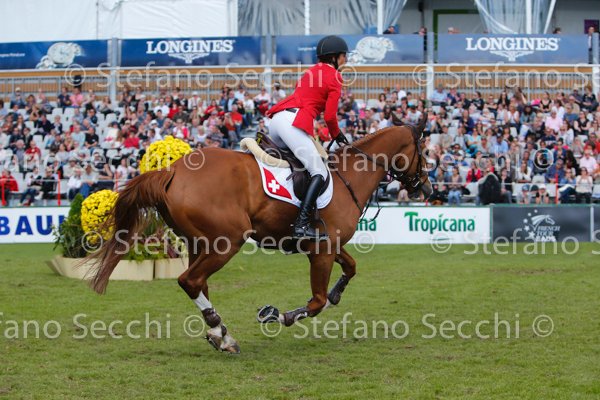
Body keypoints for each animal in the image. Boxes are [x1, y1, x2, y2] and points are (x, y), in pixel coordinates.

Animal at [89, 113, 432, 353]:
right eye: (424, 151)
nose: (427, 188)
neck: (350, 175)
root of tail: (171, 171)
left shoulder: (327, 244)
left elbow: (350, 268)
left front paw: (336, 293)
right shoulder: (321, 251)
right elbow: (317, 302)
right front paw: (276, 315)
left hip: (200, 242)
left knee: (198, 283)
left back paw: (221, 335)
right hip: (227, 241)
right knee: (190, 280)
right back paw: (221, 332)